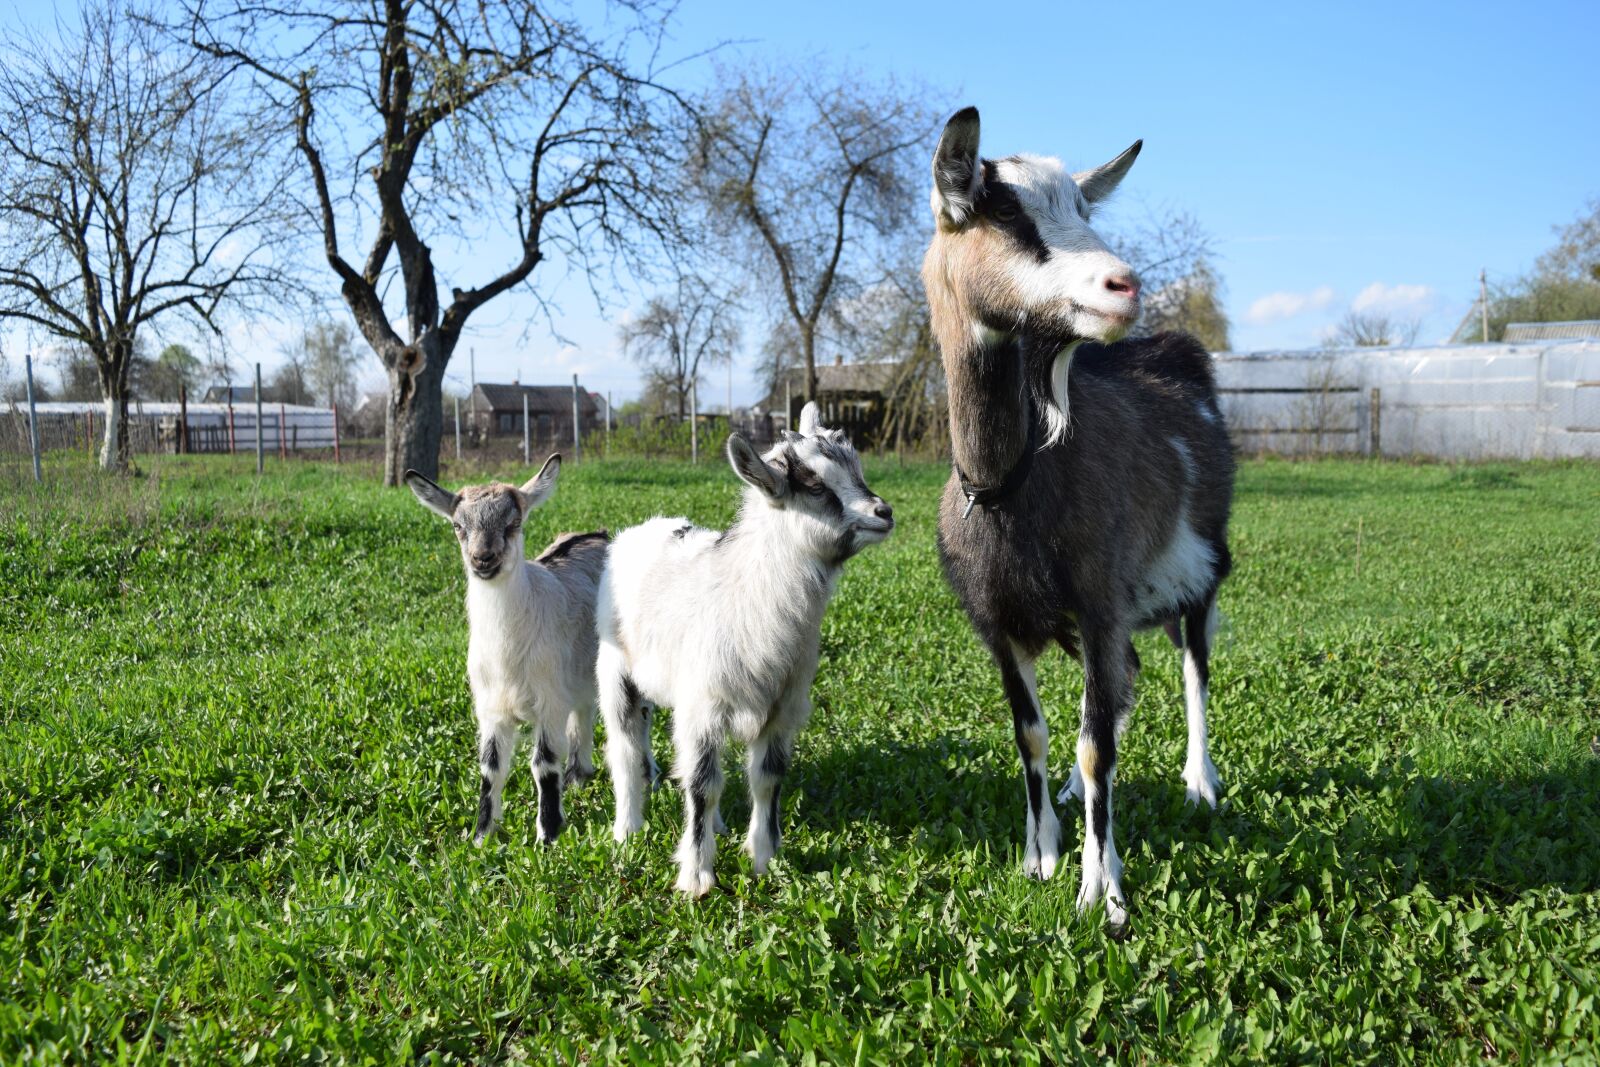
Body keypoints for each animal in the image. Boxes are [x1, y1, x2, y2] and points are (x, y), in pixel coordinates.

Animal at [405, 455, 608, 846]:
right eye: (458, 526)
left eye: (514, 523)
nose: (482, 558)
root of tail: (599, 534)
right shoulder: (490, 707)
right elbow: (491, 768)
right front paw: (481, 835)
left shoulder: (548, 700)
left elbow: (543, 765)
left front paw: (548, 835)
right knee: (583, 710)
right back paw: (579, 774)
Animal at [596, 403, 895, 896]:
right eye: (815, 485)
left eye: (858, 468)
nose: (883, 512)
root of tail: (644, 528)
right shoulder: (699, 708)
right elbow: (702, 784)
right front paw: (696, 876)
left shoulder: (782, 708)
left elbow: (766, 779)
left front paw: (763, 858)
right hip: (614, 669)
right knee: (625, 748)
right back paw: (628, 830)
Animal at [922, 107, 1236, 928]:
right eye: (1000, 210)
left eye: (1084, 211)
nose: (1123, 285)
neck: (1009, 486)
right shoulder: (997, 622)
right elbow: (1031, 733)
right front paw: (1042, 852)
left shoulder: (1100, 601)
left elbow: (1102, 745)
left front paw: (1105, 891)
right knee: (1126, 680)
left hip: (1203, 568)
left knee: (1194, 667)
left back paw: (1200, 781)